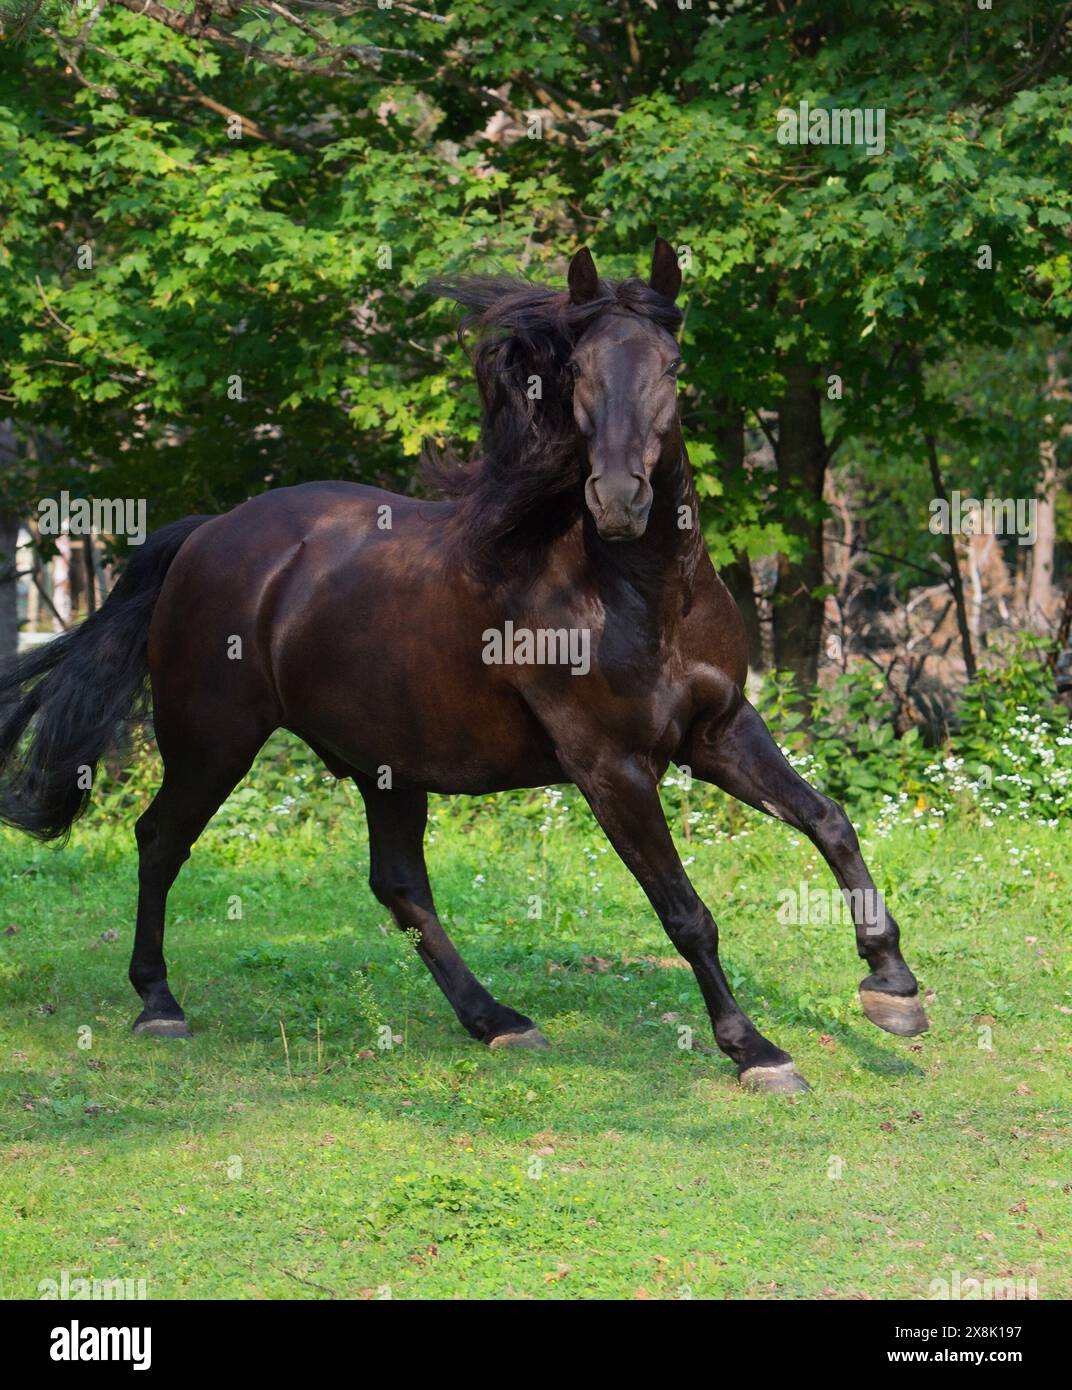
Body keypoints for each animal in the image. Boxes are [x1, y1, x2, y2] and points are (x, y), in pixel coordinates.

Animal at [0, 239, 927, 1094]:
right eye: (578, 371)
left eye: (671, 366)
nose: (619, 501)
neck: (640, 592)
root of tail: (206, 534)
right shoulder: (612, 767)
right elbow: (686, 912)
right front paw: (757, 1051)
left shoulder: (720, 730)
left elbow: (829, 821)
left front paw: (892, 987)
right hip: (212, 742)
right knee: (161, 839)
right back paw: (159, 1003)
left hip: (384, 762)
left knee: (400, 885)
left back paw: (496, 1020)